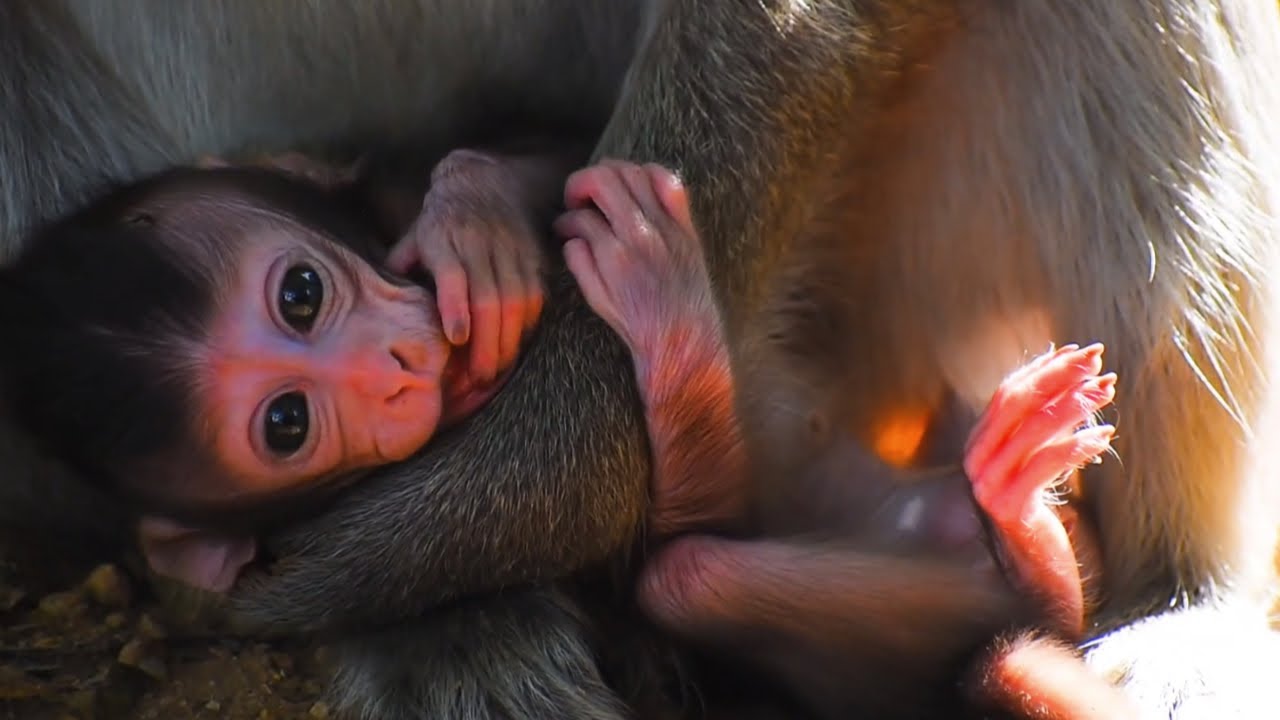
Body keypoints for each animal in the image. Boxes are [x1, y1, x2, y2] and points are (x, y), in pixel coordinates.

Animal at [3, 1, 1280, 719]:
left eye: (301, 294)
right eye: (285, 424)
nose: (387, 373)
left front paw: (475, 236)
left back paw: (1175, 595)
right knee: (706, 572)